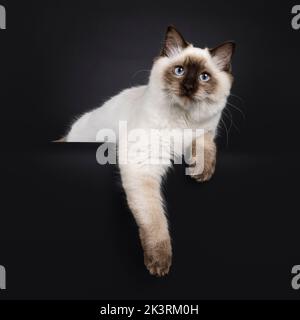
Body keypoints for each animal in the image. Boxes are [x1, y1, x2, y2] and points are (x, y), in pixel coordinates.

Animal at [64, 26, 236, 276]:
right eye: (179, 71)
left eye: (204, 77)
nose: (188, 87)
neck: (182, 121)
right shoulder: (142, 164)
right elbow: (155, 220)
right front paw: (159, 263)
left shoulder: (205, 131)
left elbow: (206, 145)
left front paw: (201, 171)